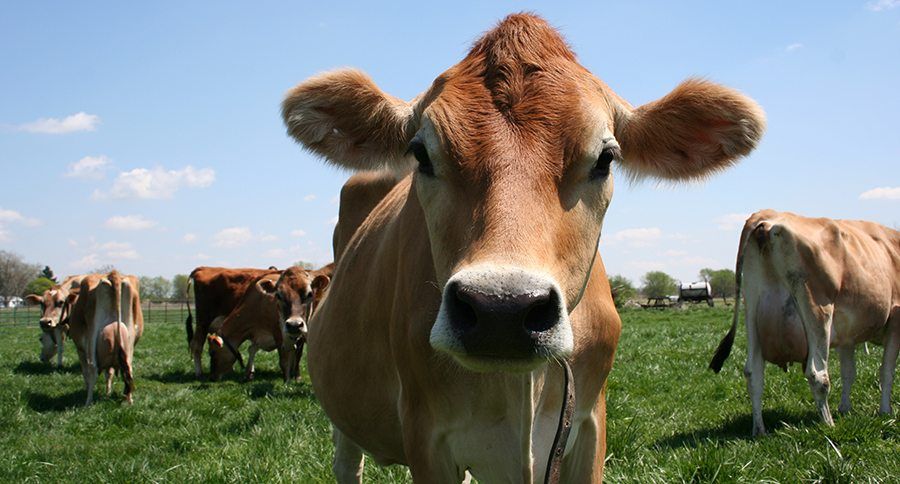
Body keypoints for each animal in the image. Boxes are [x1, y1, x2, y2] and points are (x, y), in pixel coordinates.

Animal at [66, 271, 144, 405]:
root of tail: (113, 274)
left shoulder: (80, 349)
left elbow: (86, 372)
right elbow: (109, 373)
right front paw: (108, 392)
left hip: (91, 336)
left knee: (92, 369)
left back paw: (88, 402)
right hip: (129, 339)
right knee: (129, 370)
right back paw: (129, 400)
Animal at [709, 210, 899, 436]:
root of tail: (767, 215)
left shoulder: (847, 336)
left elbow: (849, 372)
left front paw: (845, 409)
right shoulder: (896, 321)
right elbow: (886, 372)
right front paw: (885, 412)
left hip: (752, 309)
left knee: (753, 373)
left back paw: (759, 430)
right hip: (818, 311)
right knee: (818, 375)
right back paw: (828, 425)